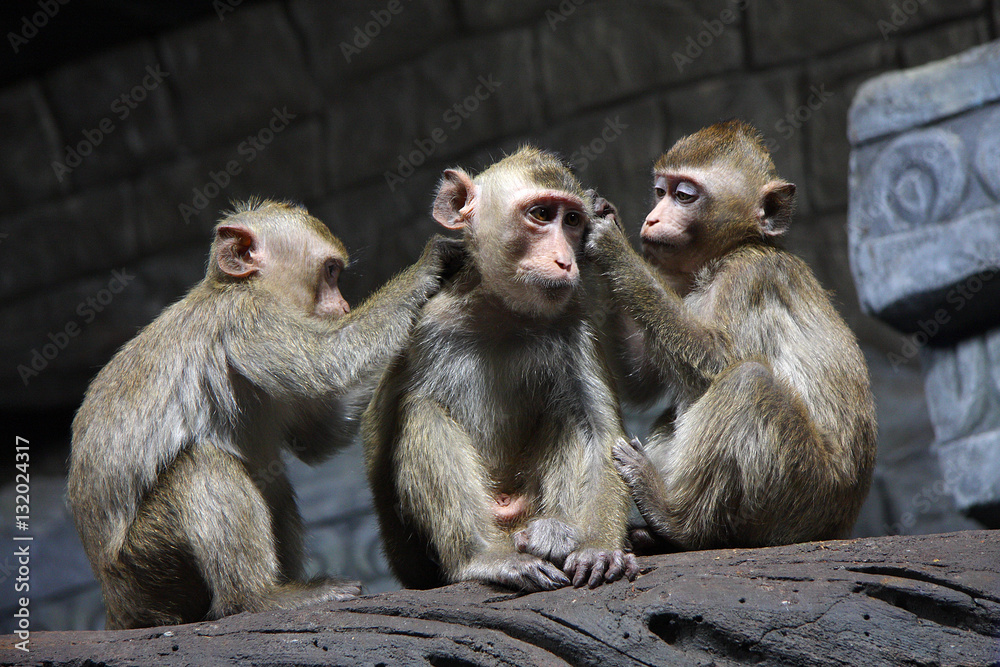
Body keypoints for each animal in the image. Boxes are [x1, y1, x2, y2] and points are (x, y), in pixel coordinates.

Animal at [68, 200, 461, 629]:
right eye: (330, 271)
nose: (342, 305)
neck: (234, 286)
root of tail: (114, 603)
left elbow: (316, 437)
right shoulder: (250, 317)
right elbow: (329, 362)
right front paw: (428, 265)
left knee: (270, 481)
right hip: (146, 568)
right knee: (200, 465)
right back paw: (258, 599)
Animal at [363, 147, 639, 592]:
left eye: (573, 221)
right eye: (541, 214)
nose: (565, 261)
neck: (503, 315)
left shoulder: (575, 326)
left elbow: (600, 433)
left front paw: (598, 547)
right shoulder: (425, 327)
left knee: (571, 414)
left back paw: (554, 537)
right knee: (421, 411)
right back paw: (486, 557)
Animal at [584, 120, 877, 552]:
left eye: (683, 196)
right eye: (660, 191)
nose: (652, 219)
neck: (731, 252)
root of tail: (839, 526)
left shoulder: (749, 278)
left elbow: (717, 361)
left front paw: (612, 246)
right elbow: (642, 380)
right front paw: (609, 220)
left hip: (799, 497)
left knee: (748, 382)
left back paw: (675, 521)